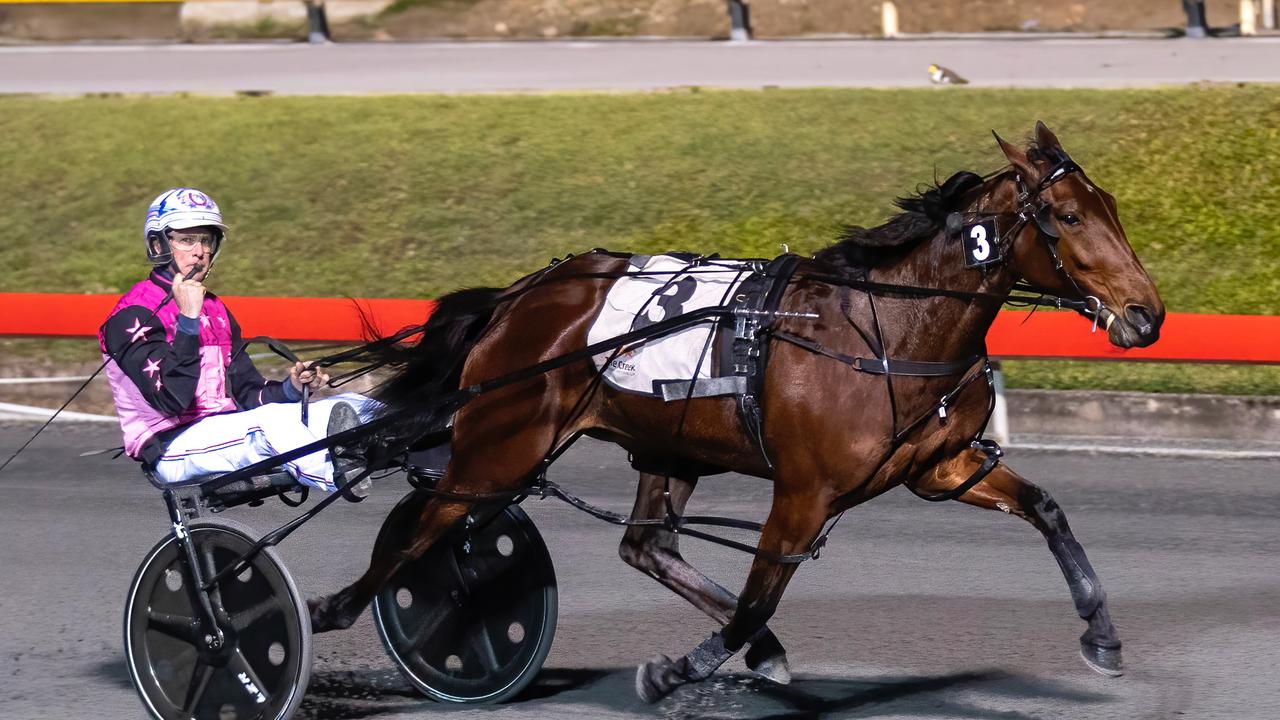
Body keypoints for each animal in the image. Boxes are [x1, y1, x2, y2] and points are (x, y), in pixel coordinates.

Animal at [307, 122, 1162, 702]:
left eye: (1112, 204)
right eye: (1069, 218)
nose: (1147, 315)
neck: (889, 329)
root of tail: (521, 297)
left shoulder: (941, 466)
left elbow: (1046, 509)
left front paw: (1102, 634)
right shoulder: (805, 490)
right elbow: (757, 598)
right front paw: (678, 668)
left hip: (666, 446)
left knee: (645, 548)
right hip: (500, 450)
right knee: (423, 529)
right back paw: (328, 605)